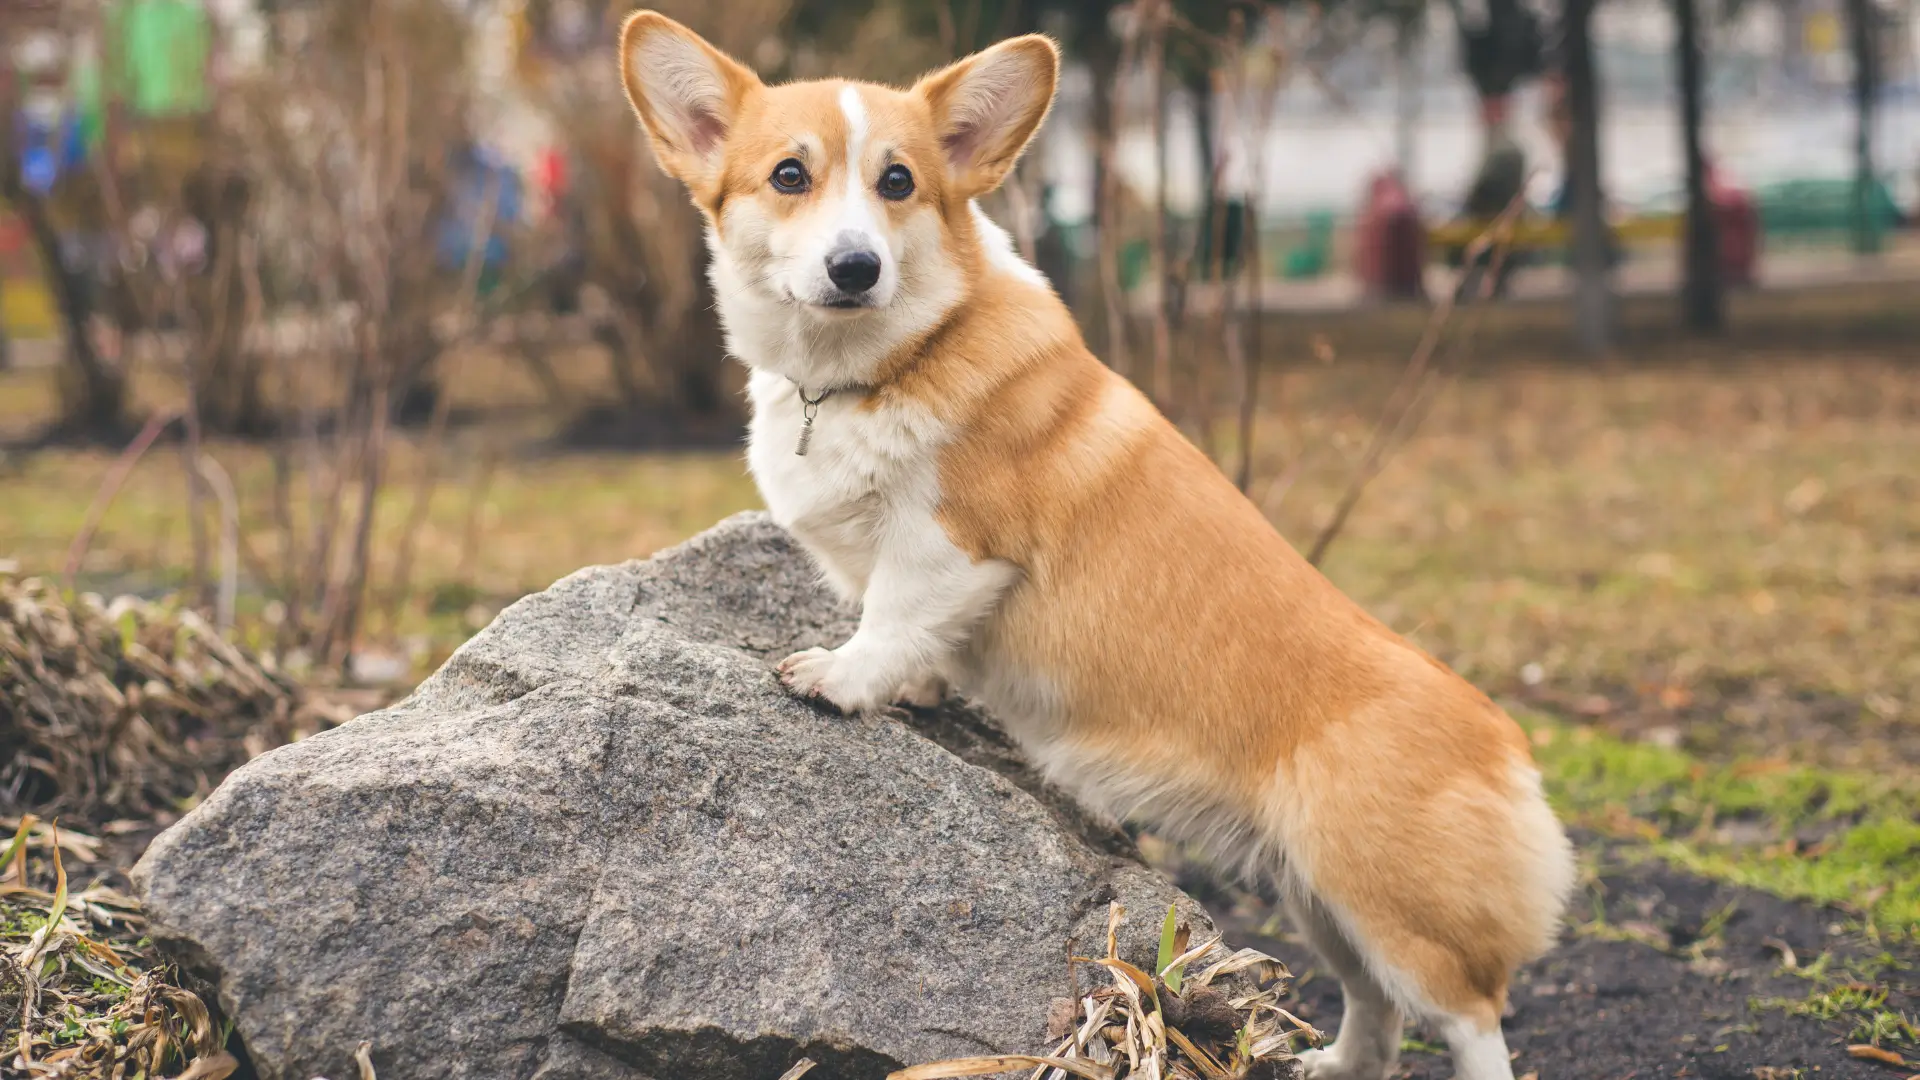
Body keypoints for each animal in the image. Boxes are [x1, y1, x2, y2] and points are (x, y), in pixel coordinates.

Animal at [622, 14, 1566, 1076]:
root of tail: (1509, 745)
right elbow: (915, 640)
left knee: (1466, 1013)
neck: (883, 364)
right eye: (790, 175)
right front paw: (917, 690)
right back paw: (1333, 1063)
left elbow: (891, 617)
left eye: (898, 182)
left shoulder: (952, 545)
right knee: (1373, 1003)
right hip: (1316, 898)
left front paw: (842, 679)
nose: (856, 269)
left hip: (1389, 904)